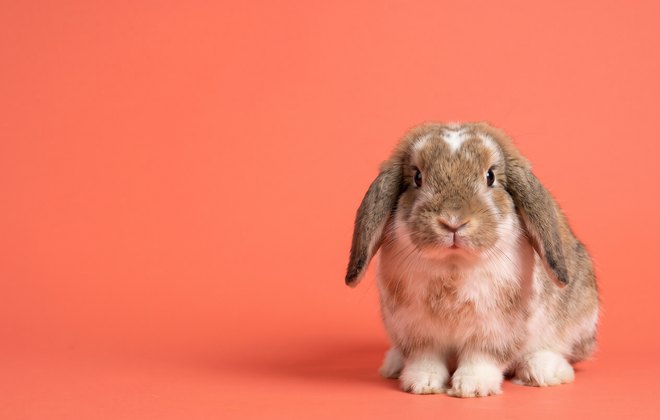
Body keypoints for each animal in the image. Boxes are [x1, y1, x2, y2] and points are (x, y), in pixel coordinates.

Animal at [345, 122, 599, 397]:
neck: (453, 265)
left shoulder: (494, 329)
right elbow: (425, 358)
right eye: (417, 178)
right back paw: (393, 365)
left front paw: (472, 387)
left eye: (490, 176)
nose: (453, 222)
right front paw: (422, 384)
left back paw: (542, 371)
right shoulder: (416, 330)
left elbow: (481, 357)